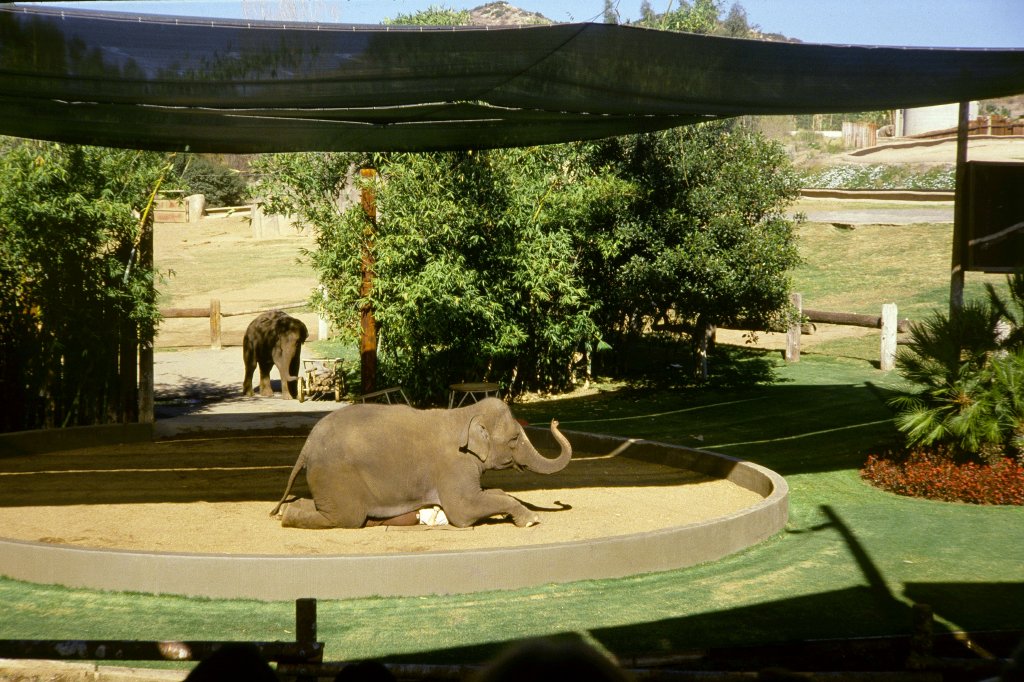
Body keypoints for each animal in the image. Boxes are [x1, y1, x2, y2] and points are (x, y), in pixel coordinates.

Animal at [270, 397, 572, 529]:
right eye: (514, 439)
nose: (556, 420)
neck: (464, 414)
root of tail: (306, 445)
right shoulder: (453, 465)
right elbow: (462, 511)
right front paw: (531, 520)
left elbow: (490, 494)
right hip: (337, 477)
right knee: (347, 518)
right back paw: (287, 516)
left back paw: (287, 510)